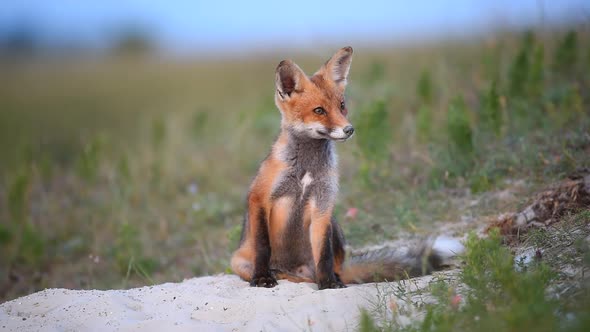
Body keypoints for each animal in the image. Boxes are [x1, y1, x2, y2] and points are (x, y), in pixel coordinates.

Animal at [231, 48, 448, 290]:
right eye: (319, 110)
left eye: (342, 105)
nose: (349, 129)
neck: (306, 169)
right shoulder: (259, 197)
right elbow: (263, 245)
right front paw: (262, 277)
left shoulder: (324, 205)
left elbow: (323, 254)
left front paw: (327, 283)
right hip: (238, 262)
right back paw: (276, 273)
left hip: (334, 226)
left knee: (320, 272)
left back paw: (327, 278)